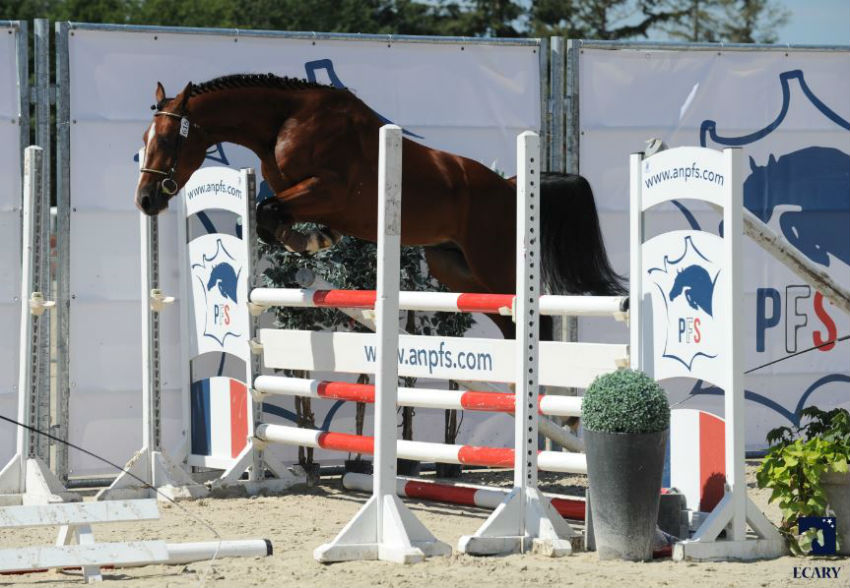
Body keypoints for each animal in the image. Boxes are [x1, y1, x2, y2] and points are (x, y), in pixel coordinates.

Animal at [134, 74, 624, 336]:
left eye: (167, 140)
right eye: (144, 139)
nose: (145, 200)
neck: (284, 122)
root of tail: (510, 186)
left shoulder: (327, 189)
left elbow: (268, 212)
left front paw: (306, 242)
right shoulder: (308, 196)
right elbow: (271, 214)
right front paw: (313, 240)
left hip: (495, 264)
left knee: (532, 319)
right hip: (456, 268)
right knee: (508, 322)